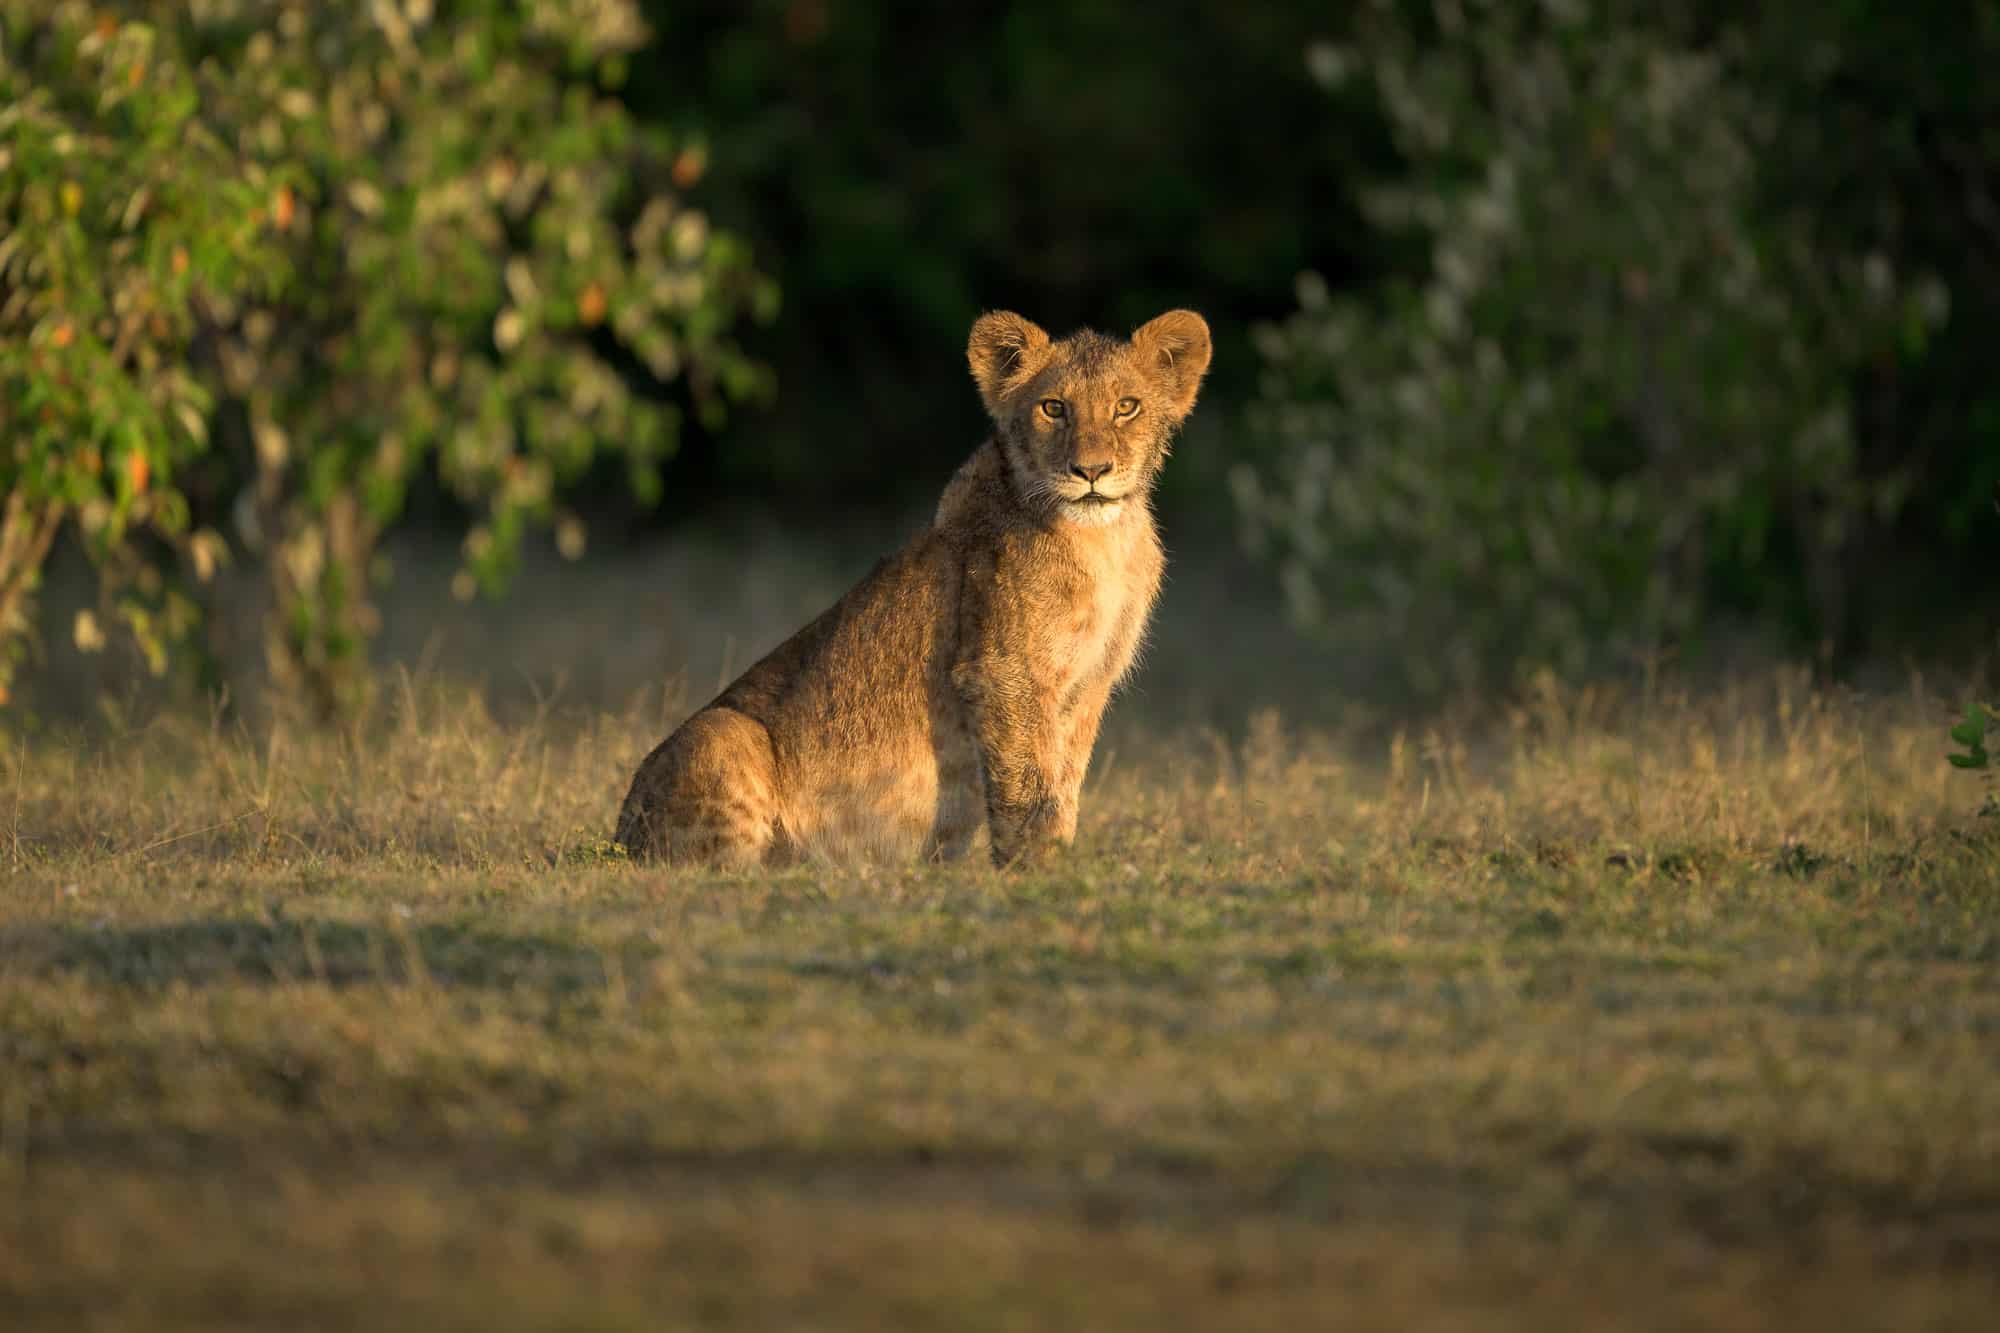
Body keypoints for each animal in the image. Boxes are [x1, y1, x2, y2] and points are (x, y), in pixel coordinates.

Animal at [614, 308, 1212, 868]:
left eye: (1127, 406)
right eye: (1053, 408)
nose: (1091, 471)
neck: (1105, 540)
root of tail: (617, 838)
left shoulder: (1088, 686)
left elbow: (1062, 786)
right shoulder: (1004, 674)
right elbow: (1028, 787)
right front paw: (1038, 873)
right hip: (722, 732)